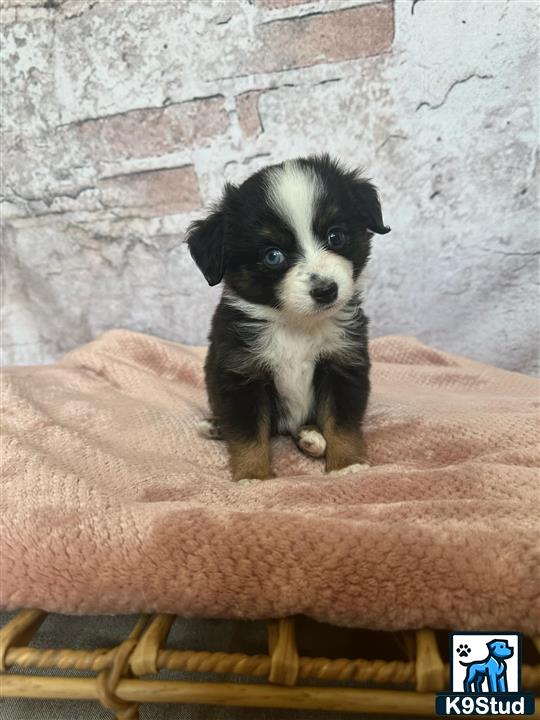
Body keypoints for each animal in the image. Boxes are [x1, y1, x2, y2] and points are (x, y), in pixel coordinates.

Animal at [188, 158, 390, 484]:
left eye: (335, 236)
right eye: (273, 255)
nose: (326, 290)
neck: (297, 325)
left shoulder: (342, 363)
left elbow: (342, 422)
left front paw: (346, 464)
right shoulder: (242, 374)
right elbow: (247, 434)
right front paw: (253, 476)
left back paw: (311, 437)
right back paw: (215, 426)